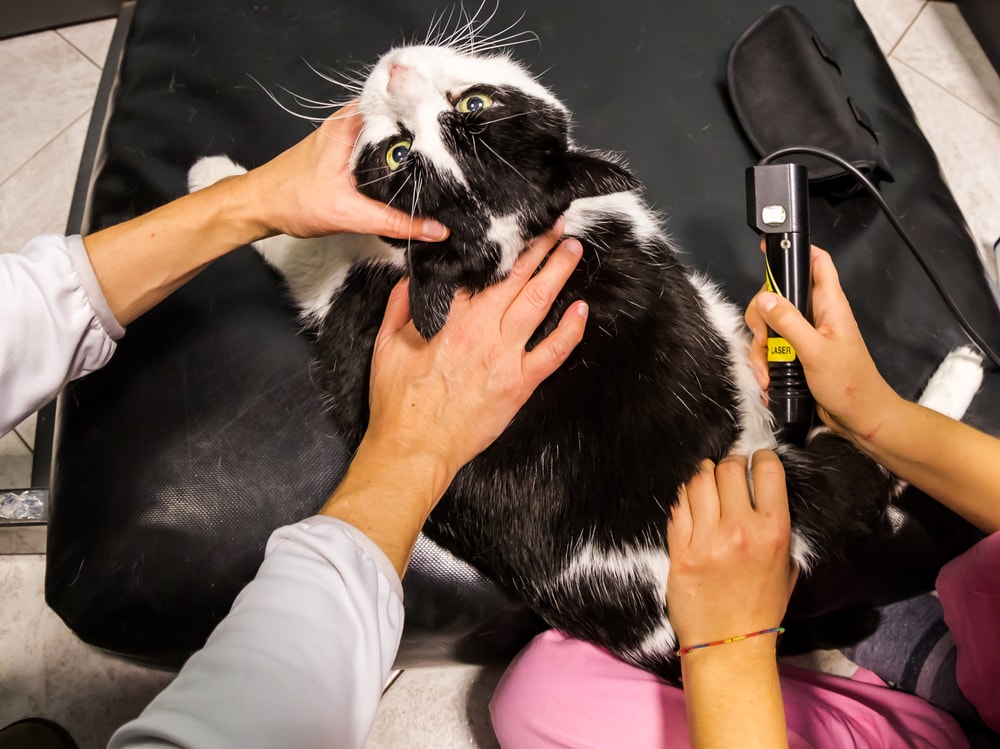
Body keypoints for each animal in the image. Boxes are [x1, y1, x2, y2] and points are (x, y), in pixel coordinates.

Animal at [189, 33, 984, 676]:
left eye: (475, 103)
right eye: (400, 153)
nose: (397, 68)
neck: (507, 253)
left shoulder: (350, 296)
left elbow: (306, 248)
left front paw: (211, 172)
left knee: (875, 453)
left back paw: (961, 365)